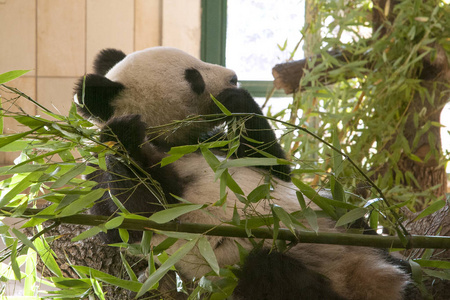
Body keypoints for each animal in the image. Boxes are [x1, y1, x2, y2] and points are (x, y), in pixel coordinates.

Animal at [74, 46, 412, 298]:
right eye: (193, 77)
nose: (234, 78)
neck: (169, 142)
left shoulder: (216, 146)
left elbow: (273, 164)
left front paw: (235, 100)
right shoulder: (102, 179)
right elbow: (136, 216)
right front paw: (123, 135)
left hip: (333, 218)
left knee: (357, 222)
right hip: (252, 267)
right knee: (272, 275)